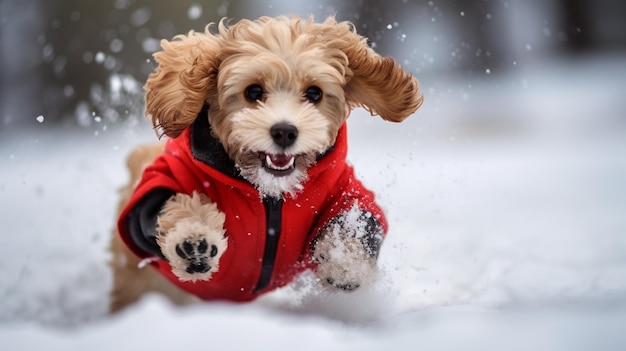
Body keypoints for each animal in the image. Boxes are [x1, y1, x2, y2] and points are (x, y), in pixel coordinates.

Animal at [109, 15, 424, 314]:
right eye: (253, 91)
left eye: (314, 93)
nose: (284, 131)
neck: (269, 192)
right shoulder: (161, 181)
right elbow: (165, 207)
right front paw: (192, 240)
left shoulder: (345, 187)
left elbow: (354, 217)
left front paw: (344, 262)